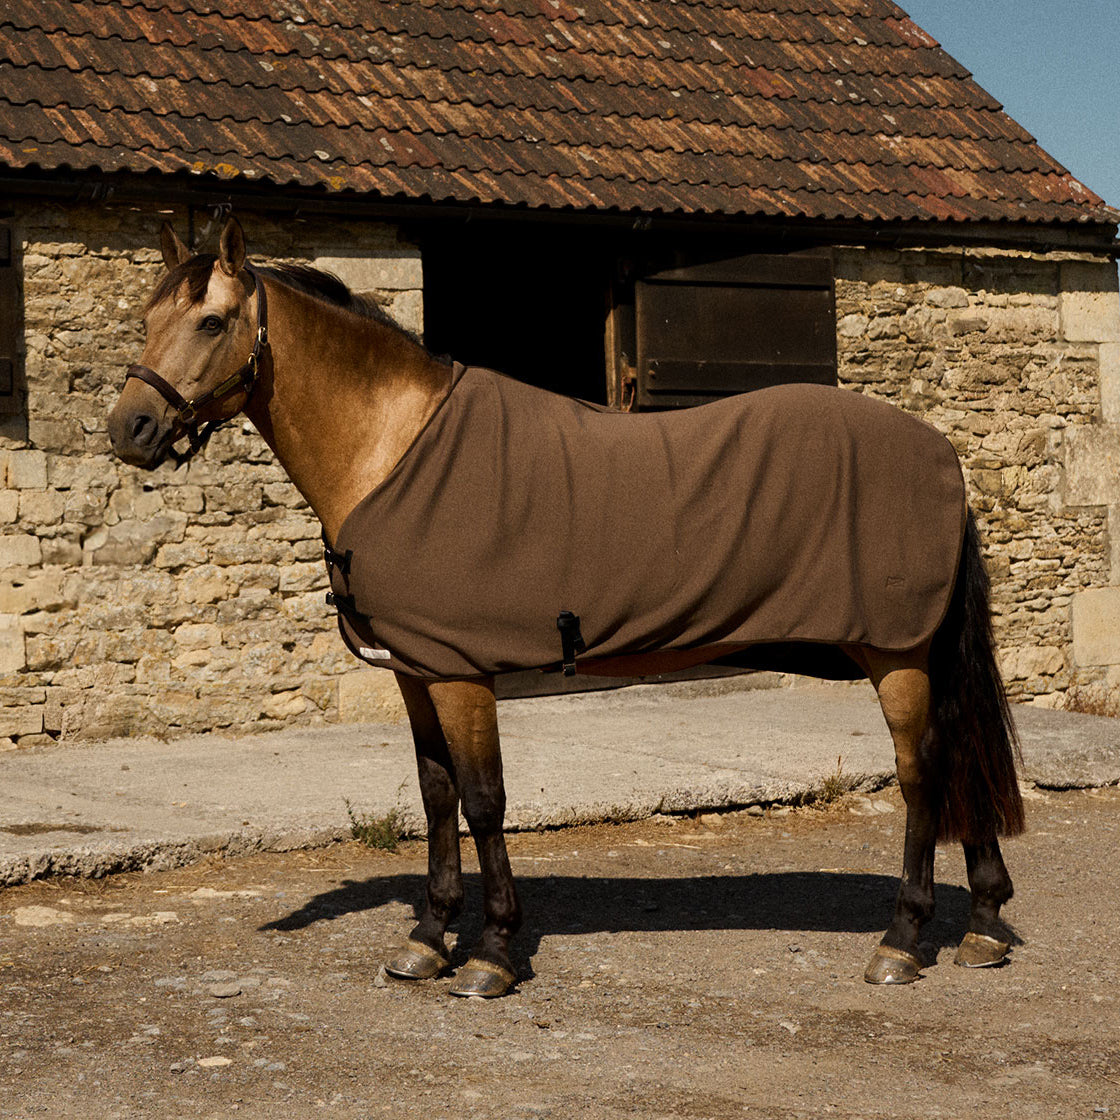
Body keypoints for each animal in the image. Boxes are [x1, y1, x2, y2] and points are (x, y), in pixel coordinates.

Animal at [107, 218, 1024, 998]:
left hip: (895, 654)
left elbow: (484, 801)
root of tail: (939, 453)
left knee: (922, 774)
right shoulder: (413, 670)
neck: (391, 450)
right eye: (149, 316)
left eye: (212, 322)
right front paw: (427, 942)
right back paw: (981, 924)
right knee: (958, 759)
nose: (130, 430)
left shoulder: (461, 673)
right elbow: (435, 795)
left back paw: (902, 942)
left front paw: (492, 953)